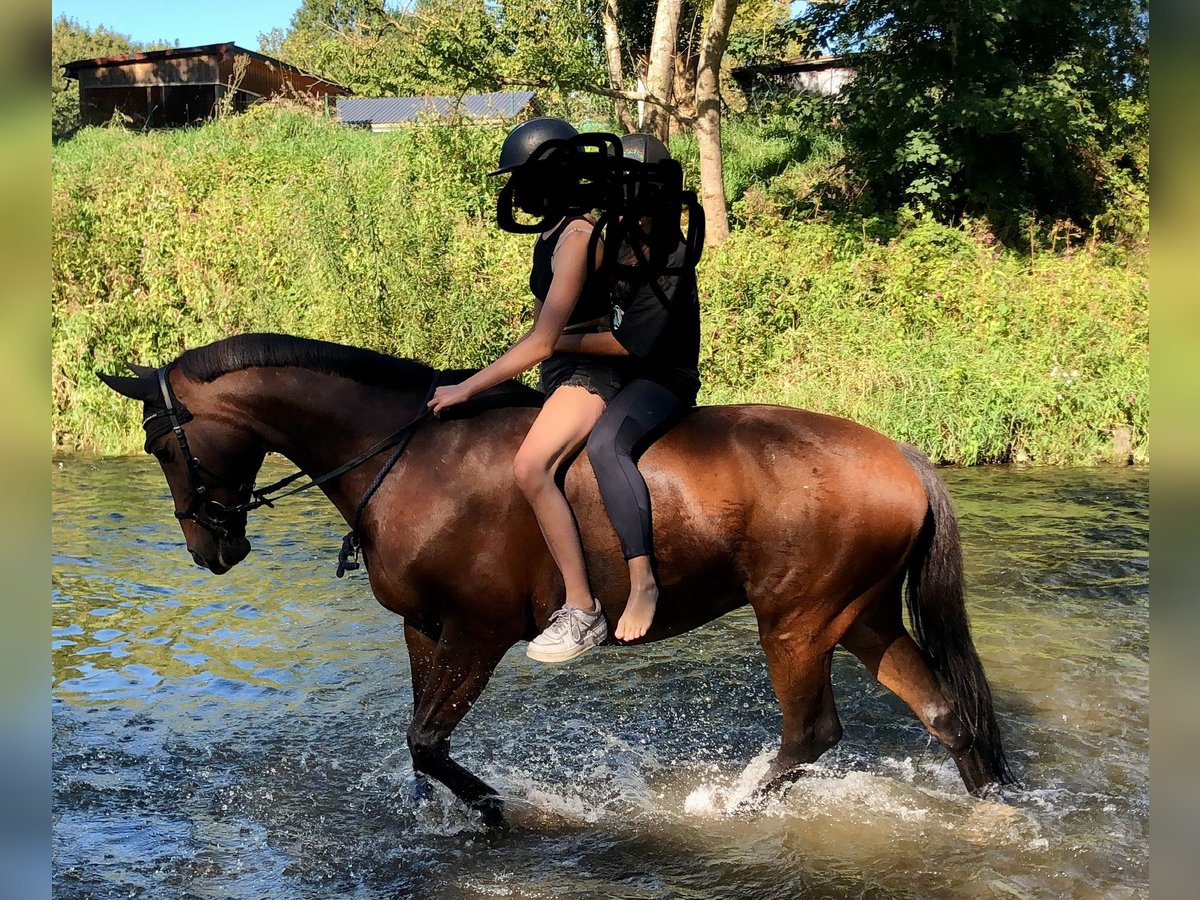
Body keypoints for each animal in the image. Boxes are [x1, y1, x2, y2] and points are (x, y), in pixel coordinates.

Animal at [100, 336, 1012, 830]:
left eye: (159, 444)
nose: (209, 550)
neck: (411, 455)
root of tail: (903, 459)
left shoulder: (477, 632)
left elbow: (426, 740)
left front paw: (497, 808)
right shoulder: (423, 629)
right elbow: (420, 746)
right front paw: (448, 813)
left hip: (797, 621)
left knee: (812, 733)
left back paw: (727, 809)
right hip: (858, 616)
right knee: (944, 714)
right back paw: (995, 812)